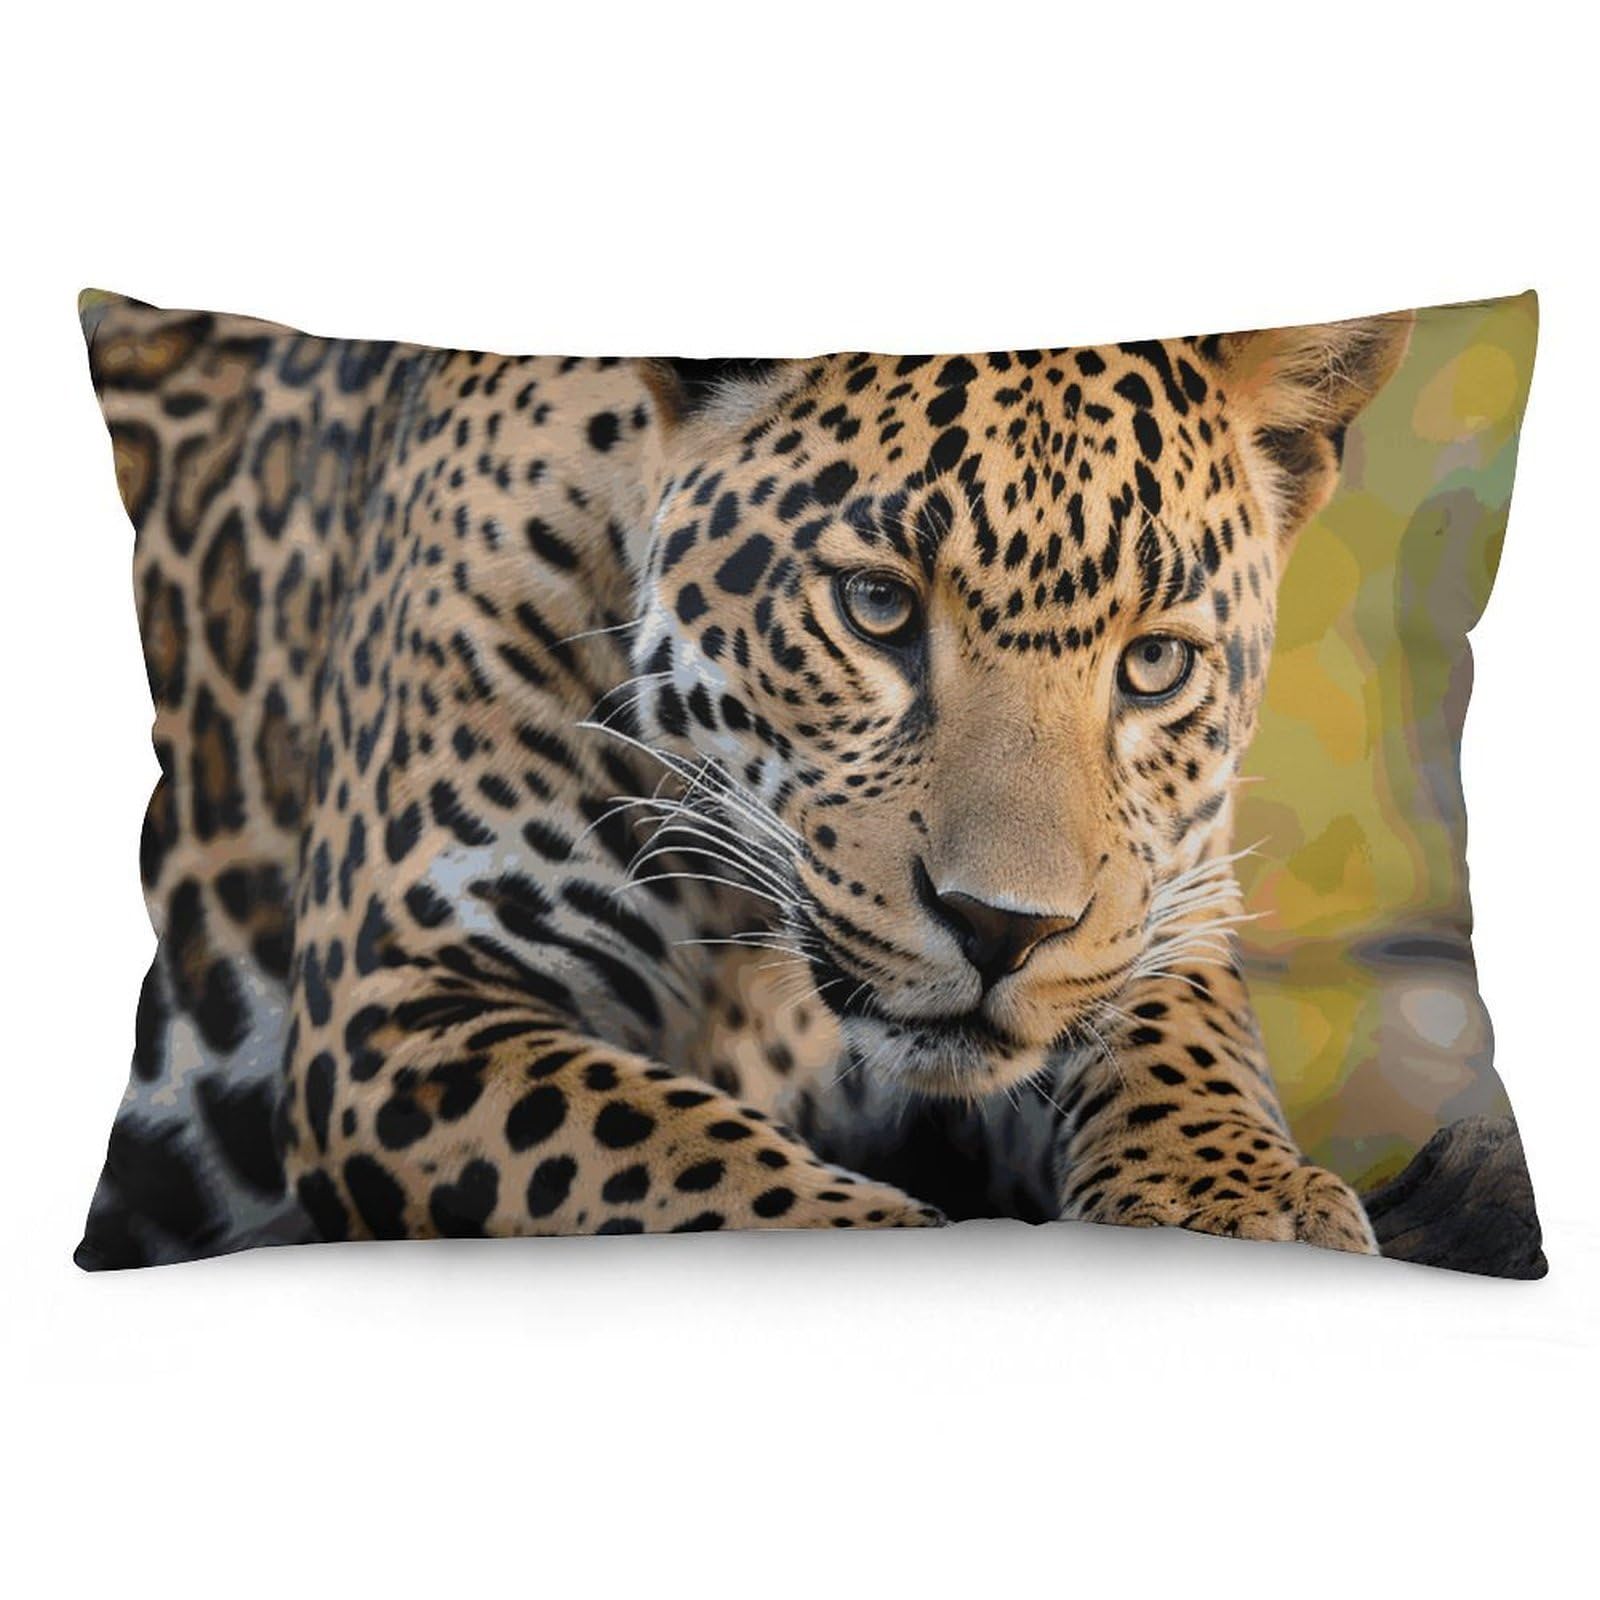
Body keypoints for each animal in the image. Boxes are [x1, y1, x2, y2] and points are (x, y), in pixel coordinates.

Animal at [75, 289, 1409, 1266]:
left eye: (1153, 664)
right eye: (876, 606)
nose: (999, 929)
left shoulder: (1162, 899)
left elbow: (1183, 1041)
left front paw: (1233, 1198)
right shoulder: (398, 1003)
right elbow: (692, 1162)